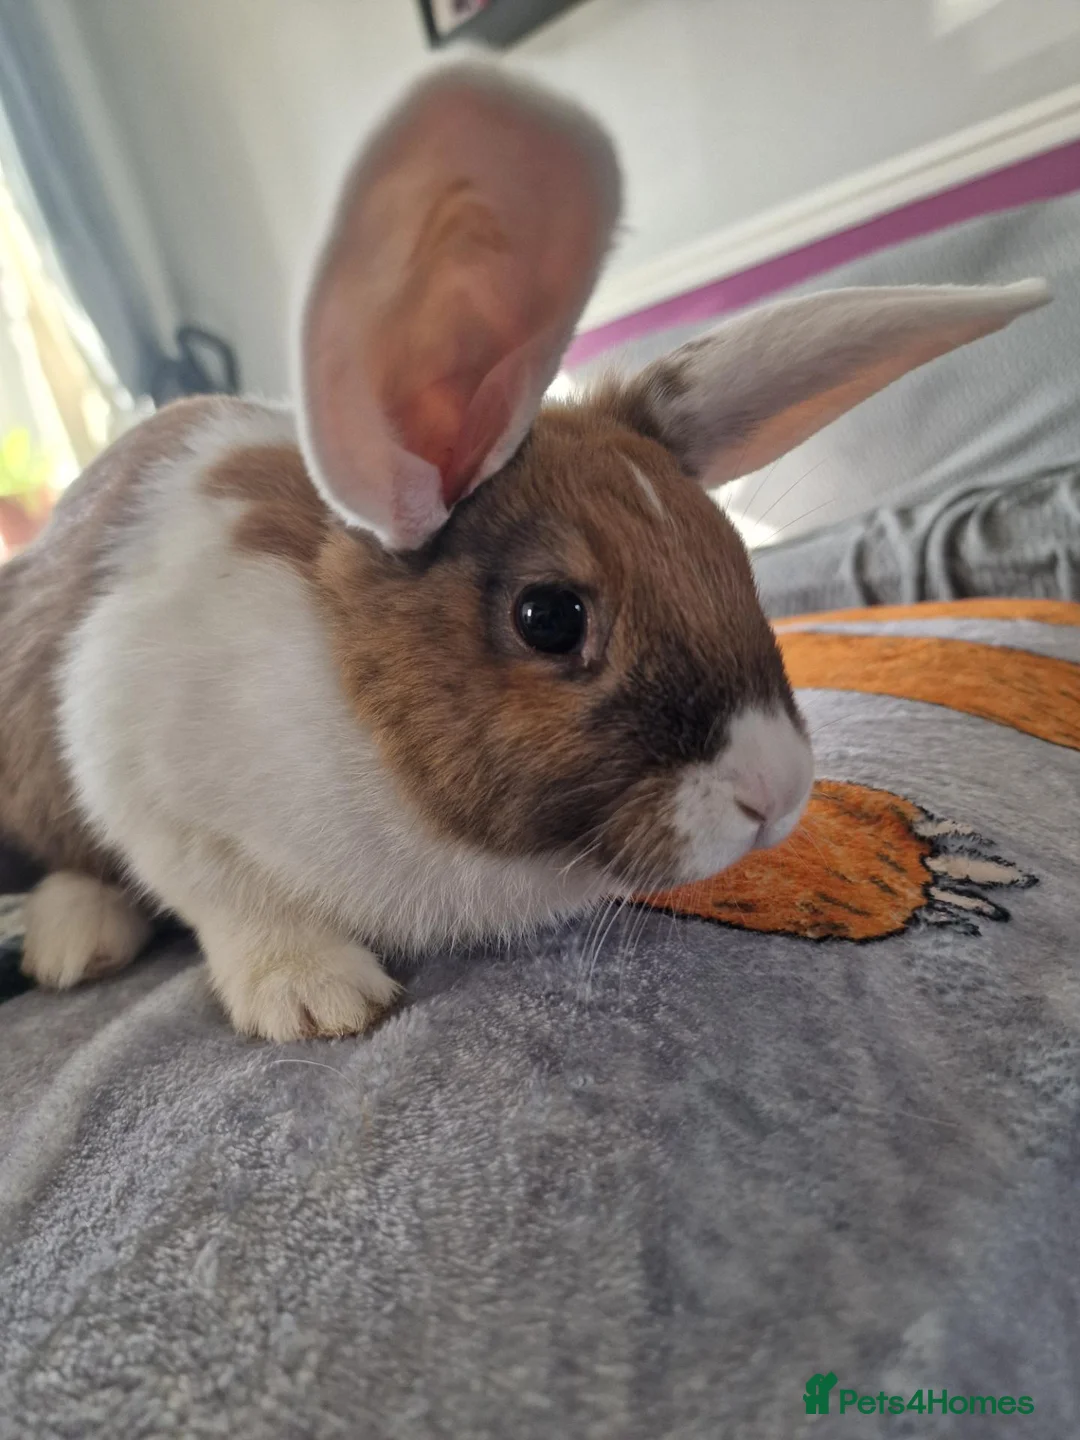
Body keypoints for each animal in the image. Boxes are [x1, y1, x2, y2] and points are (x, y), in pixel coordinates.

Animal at [0, 60, 1049, 1040]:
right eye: (550, 617)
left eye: (734, 557)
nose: (777, 795)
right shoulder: (132, 754)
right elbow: (229, 899)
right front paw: (316, 997)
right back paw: (73, 943)